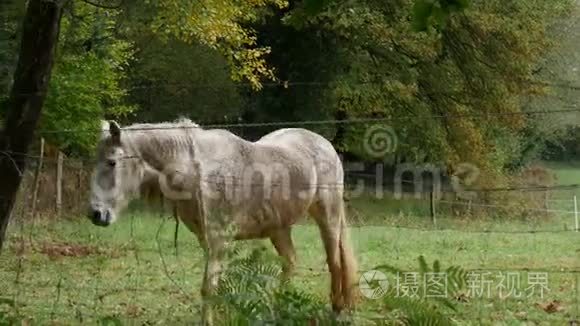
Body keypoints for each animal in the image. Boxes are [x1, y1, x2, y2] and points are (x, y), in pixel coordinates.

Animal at [89, 119, 358, 324]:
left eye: (112, 162)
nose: (95, 214)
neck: (198, 172)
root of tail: (325, 145)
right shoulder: (207, 240)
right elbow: (213, 286)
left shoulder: (219, 241)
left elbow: (209, 288)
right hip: (278, 228)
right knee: (290, 262)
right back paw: (277, 310)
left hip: (328, 217)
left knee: (335, 262)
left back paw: (337, 311)